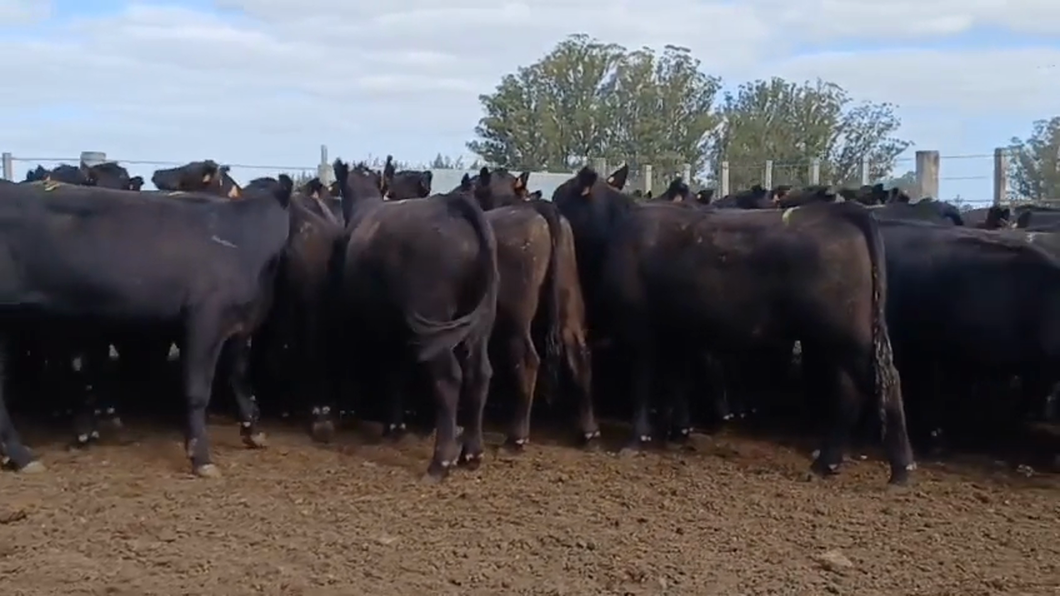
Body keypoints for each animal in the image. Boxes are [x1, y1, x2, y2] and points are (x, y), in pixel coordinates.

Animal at [0, 176, 292, 472]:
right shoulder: (204, 319)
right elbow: (198, 390)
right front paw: (200, 457)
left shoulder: (239, 325)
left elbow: (240, 377)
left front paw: (253, 432)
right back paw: (23, 456)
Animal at [559, 167, 915, 483]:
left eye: (561, 196)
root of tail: (844, 212)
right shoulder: (677, 331)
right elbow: (676, 381)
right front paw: (678, 432)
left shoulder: (640, 329)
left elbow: (643, 383)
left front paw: (637, 440)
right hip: (837, 340)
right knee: (851, 391)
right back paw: (827, 463)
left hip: (847, 337)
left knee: (884, 382)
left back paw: (901, 469)